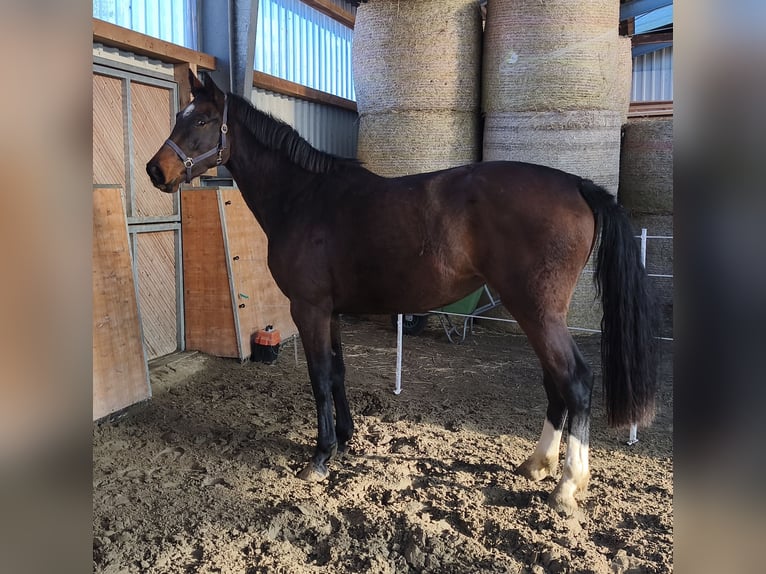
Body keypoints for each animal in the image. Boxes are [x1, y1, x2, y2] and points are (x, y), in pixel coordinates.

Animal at [147, 71, 657, 514]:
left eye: (202, 120)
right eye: (180, 116)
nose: (156, 170)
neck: (305, 197)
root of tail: (577, 184)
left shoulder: (309, 310)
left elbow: (318, 378)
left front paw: (320, 455)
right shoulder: (330, 312)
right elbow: (338, 374)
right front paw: (345, 439)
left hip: (537, 311)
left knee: (576, 382)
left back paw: (567, 485)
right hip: (535, 314)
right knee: (556, 384)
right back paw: (537, 465)